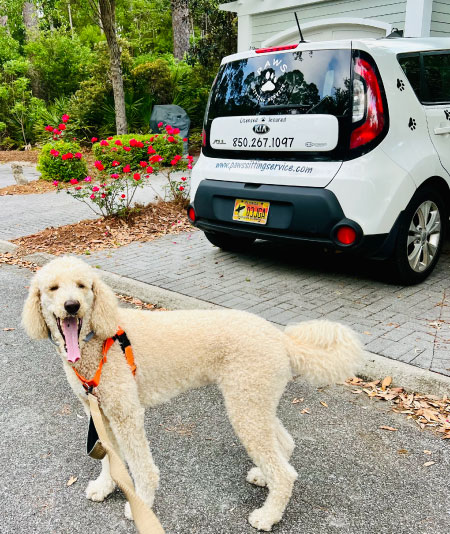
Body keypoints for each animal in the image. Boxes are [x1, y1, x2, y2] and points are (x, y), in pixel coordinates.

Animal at [22, 258, 364, 532]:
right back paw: (263, 477)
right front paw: (105, 487)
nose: (72, 306)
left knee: (285, 473)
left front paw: (141, 502)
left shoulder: (126, 413)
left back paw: (267, 516)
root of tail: (280, 338)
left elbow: (141, 466)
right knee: (284, 445)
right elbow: (109, 458)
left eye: (82, 285)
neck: (96, 341)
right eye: (53, 288)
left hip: (245, 405)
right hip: (254, 401)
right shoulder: (100, 412)